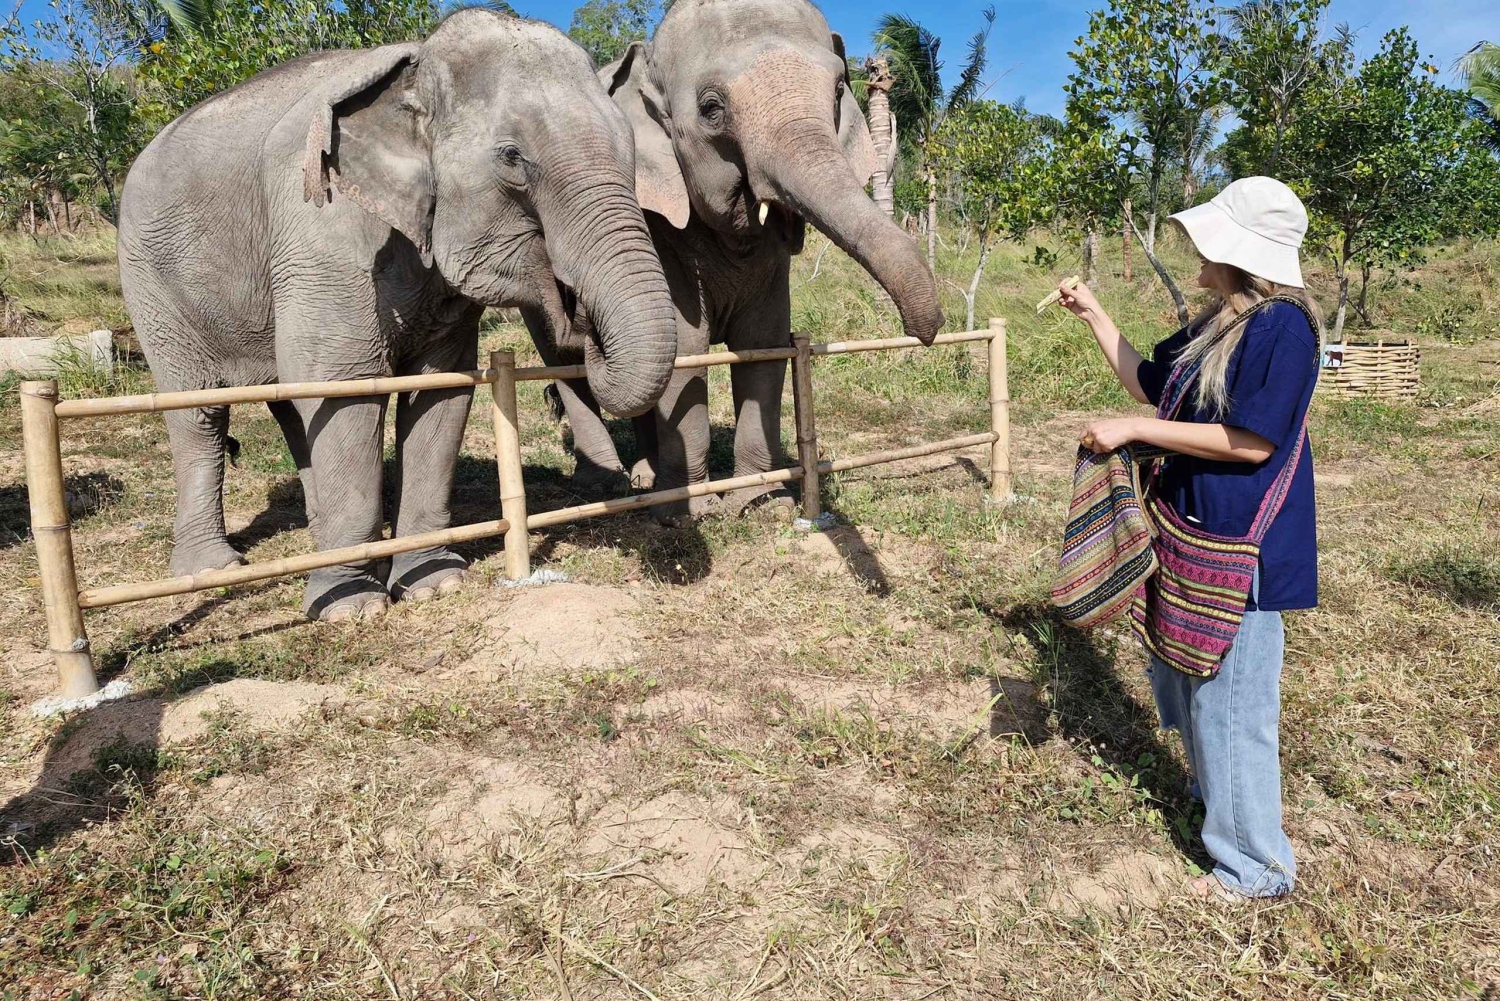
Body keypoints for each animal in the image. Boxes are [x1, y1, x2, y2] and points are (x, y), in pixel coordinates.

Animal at [117, 11, 677, 621]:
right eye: (512, 157)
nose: (577, 313)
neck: (417, 65)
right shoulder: (325, 232)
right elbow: (344, 385)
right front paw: (350, 608)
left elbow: (440, 388)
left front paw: (434, 584)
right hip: (151, 284)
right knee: (199, 412)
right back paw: (213, 568)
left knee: (290, 405)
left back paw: (317, 533)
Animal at [536, 0, 943, 519]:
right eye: (711, 108)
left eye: (838, 91)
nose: (921, 334)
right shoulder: (655, 222)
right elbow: (684, 347)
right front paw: (688, 513)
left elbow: (763, 341)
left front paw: (760, 503)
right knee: (565, 358)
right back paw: (612, 485)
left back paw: (645, 477)